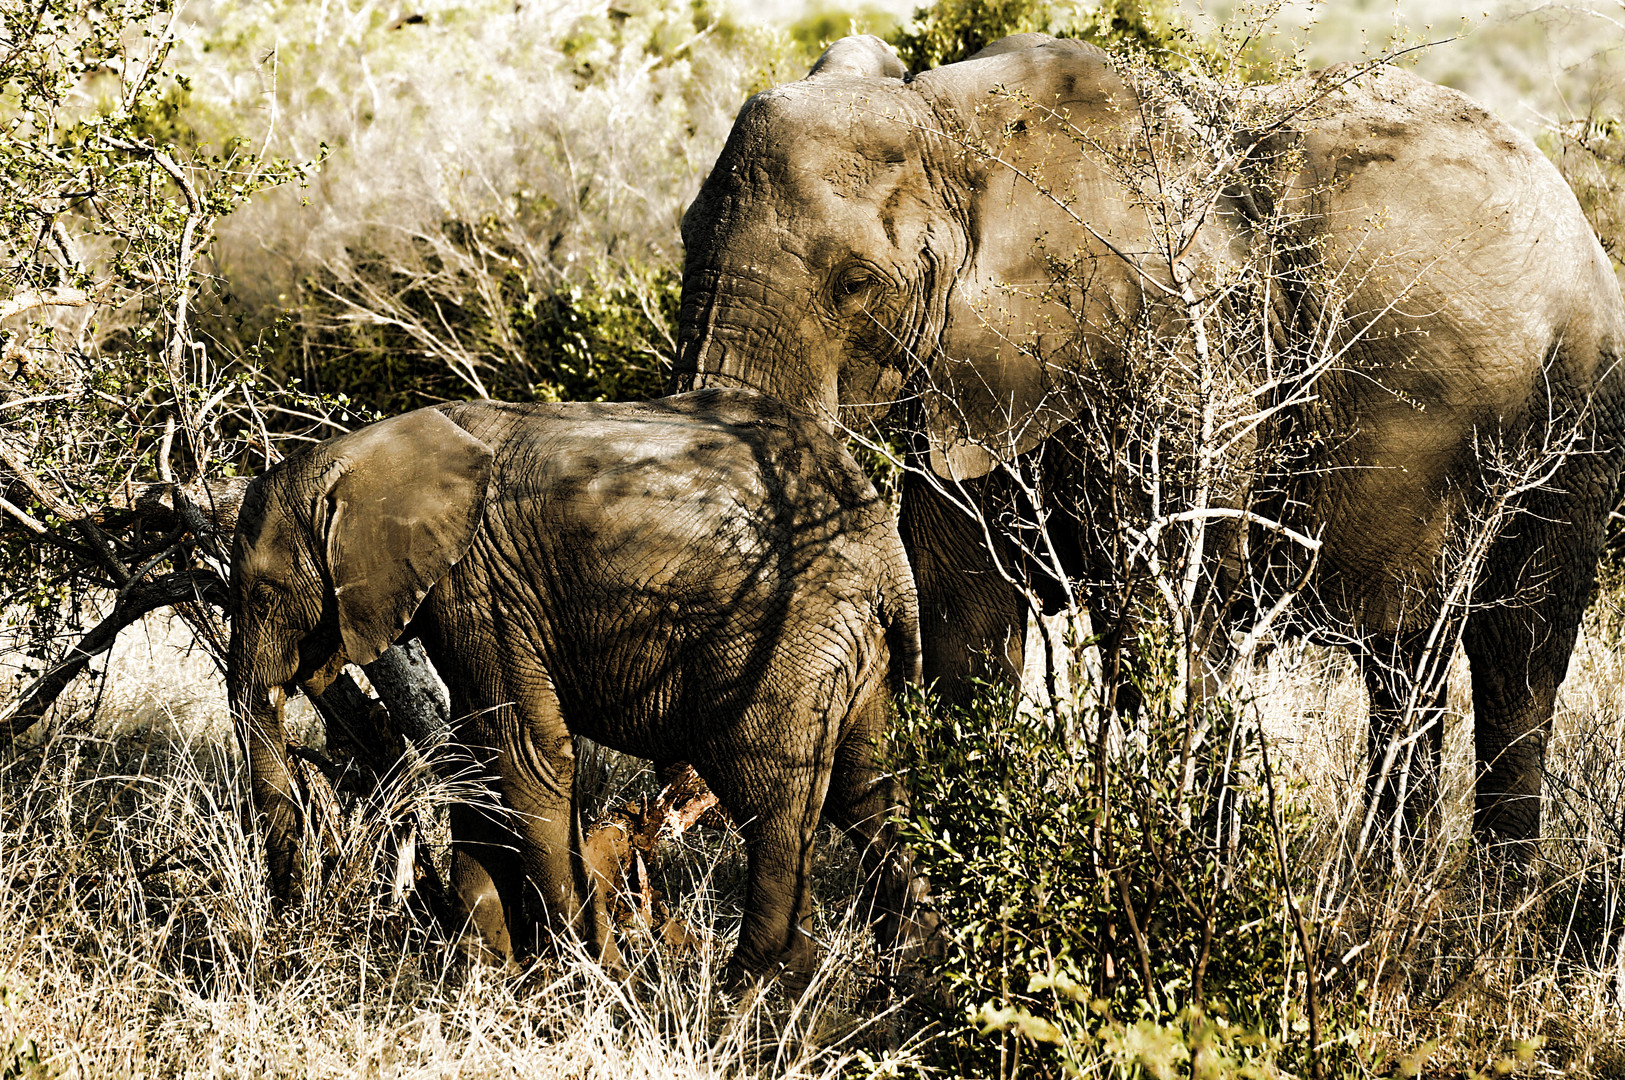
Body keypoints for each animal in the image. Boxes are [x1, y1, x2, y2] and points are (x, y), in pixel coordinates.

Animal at [230, 384, 942, 974]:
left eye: (261, 594)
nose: (292, 915)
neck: (364, 453)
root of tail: (884, 549)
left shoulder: (483, 590)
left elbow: (523, 756)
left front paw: (592, 976)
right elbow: (477, 760)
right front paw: (487, 972)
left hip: (782, 644)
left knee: (772, 805)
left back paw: (744, 1005)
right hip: (851, 649)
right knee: (866, 790)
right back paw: (915, 970)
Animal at [672, 33, 1625, 838]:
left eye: (855, 284)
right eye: (682, 236)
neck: (960, 127)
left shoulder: (1185, 346)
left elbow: (1163, 619)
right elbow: (961, 606)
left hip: (1577, 414)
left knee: (1517, 657)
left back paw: (1478, 906)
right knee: (1404, 658)